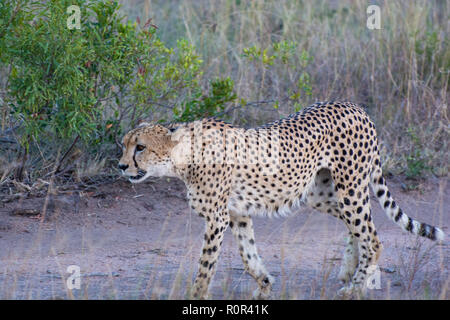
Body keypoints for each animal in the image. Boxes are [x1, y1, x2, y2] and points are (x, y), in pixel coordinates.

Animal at [118, 101, 444, 298]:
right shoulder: (236, 214)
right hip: (319, 193)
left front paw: (197, 295)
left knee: (372, 237)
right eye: (124, 145)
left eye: (140, 147)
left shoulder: (217, 218)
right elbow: (248, 255)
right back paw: (348, 269)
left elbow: (206, 264)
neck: (184, 157)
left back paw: (355, 286)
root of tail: (355, 106)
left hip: (349, 189)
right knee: (359, 228)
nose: (121, 166)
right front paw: (264, 284)